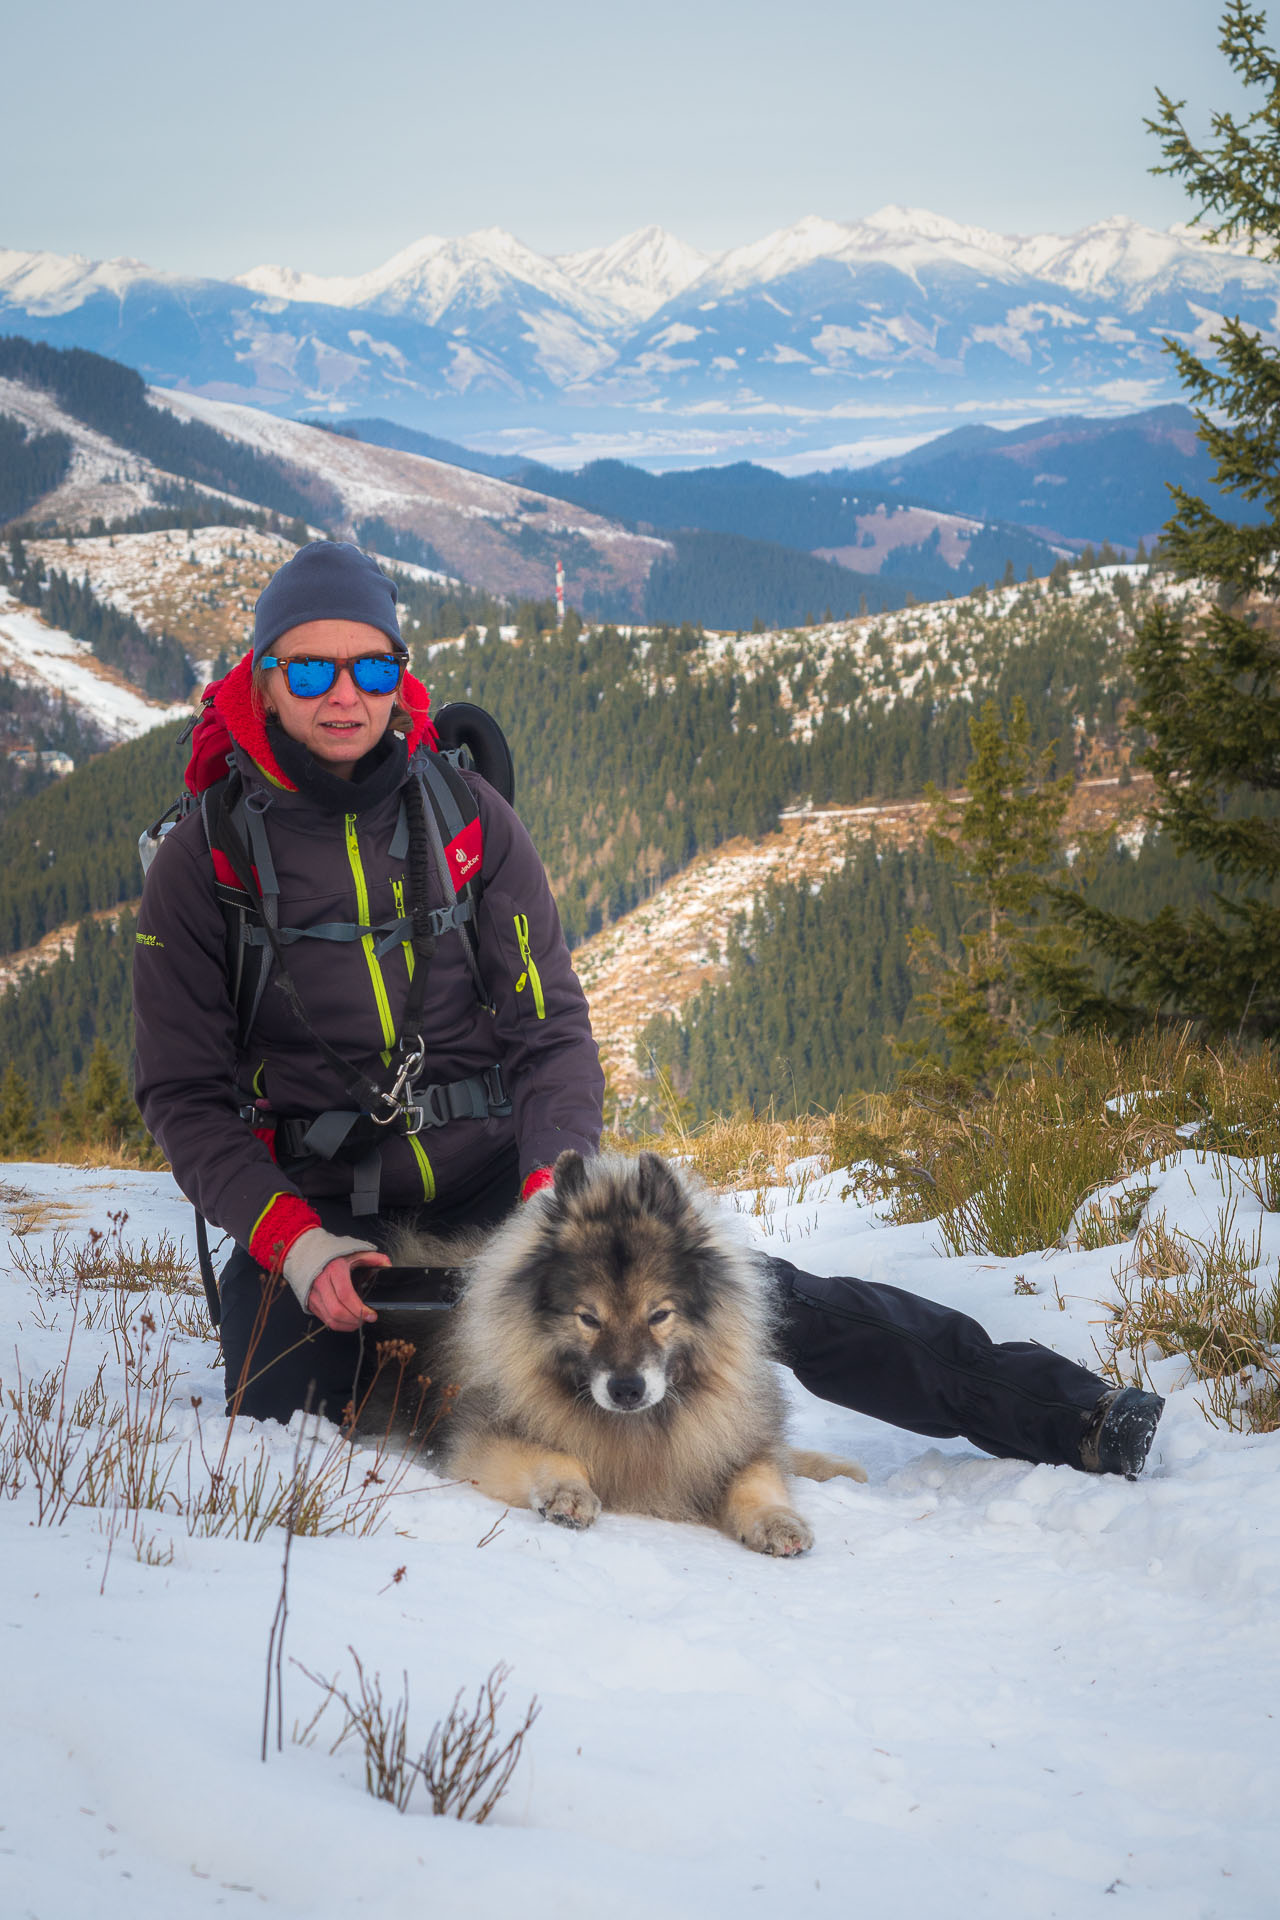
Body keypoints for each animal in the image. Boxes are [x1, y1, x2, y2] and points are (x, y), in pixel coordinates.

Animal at [395, 1144, 867, 1551]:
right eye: (589, 1318)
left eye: (658, 1315)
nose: (626, 1391)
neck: (639, 1426)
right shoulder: (480, 1438)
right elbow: (551, 1454)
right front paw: (568, 1491)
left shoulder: (730, 1439)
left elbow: (759, 1477)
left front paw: (777, 1521)